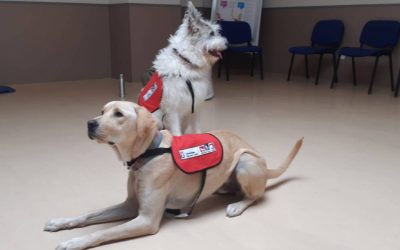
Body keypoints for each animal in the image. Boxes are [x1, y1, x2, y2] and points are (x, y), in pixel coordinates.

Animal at [43, 101, 304, 250]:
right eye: (102, 112)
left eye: (118, 114)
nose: (89, 123)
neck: (148, 153)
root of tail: (265, 164)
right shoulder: (130, 205)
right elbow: (89, 216)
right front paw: (62, 222)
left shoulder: (146, 219)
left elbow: (104, 231)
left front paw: (74, 242)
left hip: (245, 163)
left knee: (255, 196)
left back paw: (237, 205)